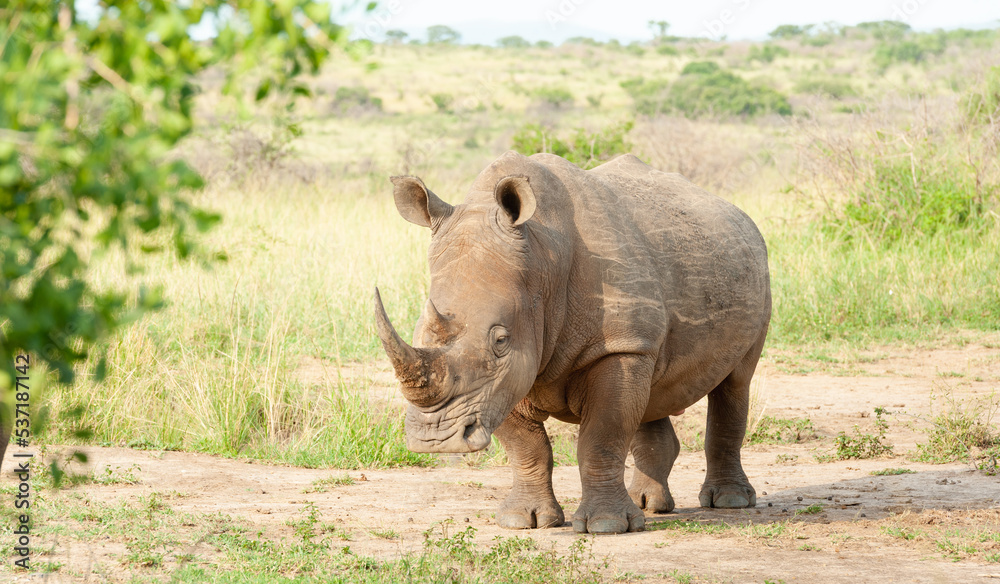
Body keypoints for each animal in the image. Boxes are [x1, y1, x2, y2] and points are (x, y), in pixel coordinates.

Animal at [373, 151, 770, 534]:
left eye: (500, 340)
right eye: (420, 331)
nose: (435, 441)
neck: (542, 260)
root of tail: (739, 214)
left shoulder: (612, 347)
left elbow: (602, 437)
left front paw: (606, 526)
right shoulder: (502, 379)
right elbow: (526, 447)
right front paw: (523, 521)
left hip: (756, 266)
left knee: (736, 382)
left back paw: (729, 502)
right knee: (653, 386)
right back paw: (649, 505)